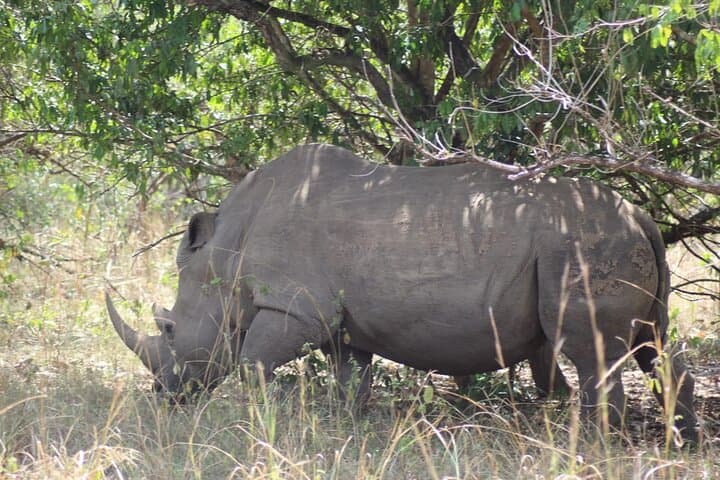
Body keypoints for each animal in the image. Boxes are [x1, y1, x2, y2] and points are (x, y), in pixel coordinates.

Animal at [107, 143, 696, 439]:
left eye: (170, 330)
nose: (164, 395)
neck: (225, 253)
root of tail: (641, 215)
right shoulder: (338, 322)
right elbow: (351, 379)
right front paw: (345, 432)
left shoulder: (295, 308)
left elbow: (252, 364)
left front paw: (258, 425)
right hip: (608, 242)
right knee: (650, 345)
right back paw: (680, 440)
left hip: (581, 244)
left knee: (594, 353)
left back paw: (595, 448)